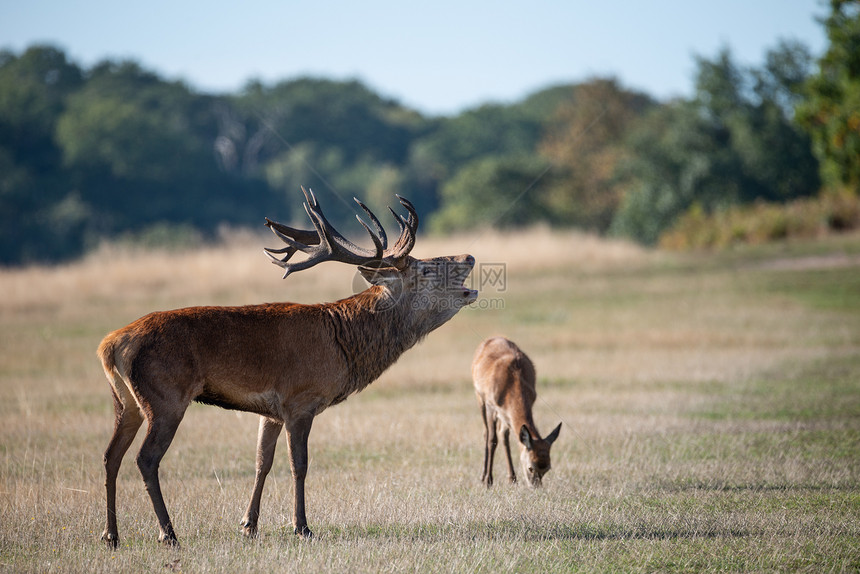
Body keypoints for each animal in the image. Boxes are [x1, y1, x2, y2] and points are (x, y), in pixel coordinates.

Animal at [99, 190, 478, 548]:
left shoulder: (270, 411)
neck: (345, 342)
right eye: (425, 270)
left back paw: (111, 534)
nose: (469, 256)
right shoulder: (300, 400)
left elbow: (261, 462)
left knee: (110, 455)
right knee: (145, 458)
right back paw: (168, 533)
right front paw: (302, 527)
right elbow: (299, 464)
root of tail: (111, 344)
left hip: (126, 402)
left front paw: (249, 525)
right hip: (165, 397)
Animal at [474, 338, 560, 490]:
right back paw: (483, 476)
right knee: (486, 433)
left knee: (503, 436)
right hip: (479, 397)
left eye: (547, 468)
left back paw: (511, 478)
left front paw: (512, 480)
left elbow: (504, 436)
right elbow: (492, 440)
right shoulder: (491, 404)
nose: (536, 487)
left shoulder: (510, 411)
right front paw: (488, 482)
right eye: (530, 467)